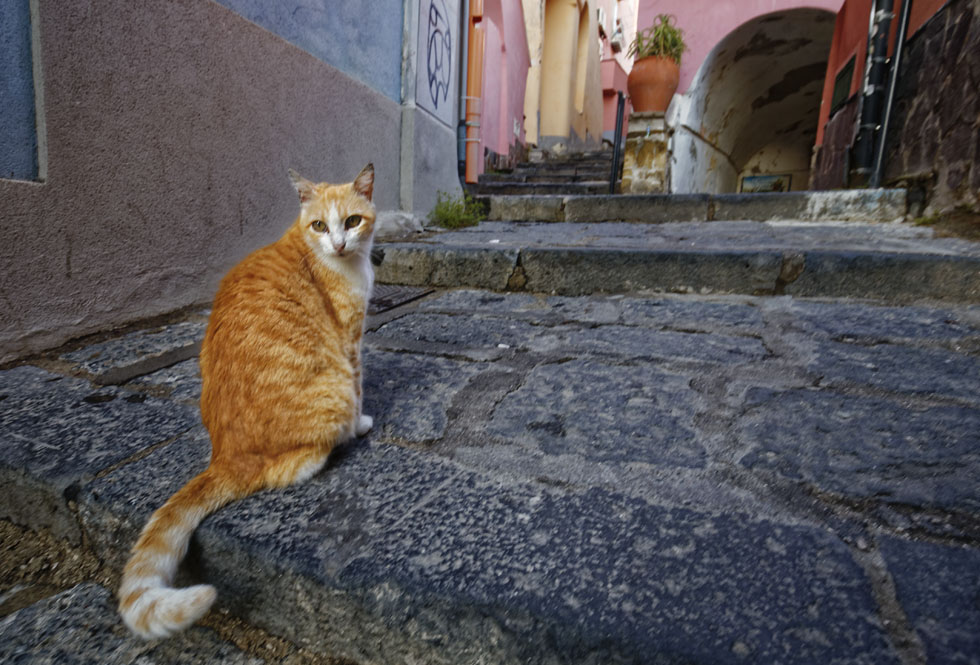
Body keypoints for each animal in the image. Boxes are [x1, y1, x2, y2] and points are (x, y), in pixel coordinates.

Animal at [116, 165, 376, 640]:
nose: (339, 243)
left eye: (351, 221)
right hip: (329, 395)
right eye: (319, 226)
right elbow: (360, 384)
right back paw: (340, 440)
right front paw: (363, 423)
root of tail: (225, 457)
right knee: (298, 463)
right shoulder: (349, 344)